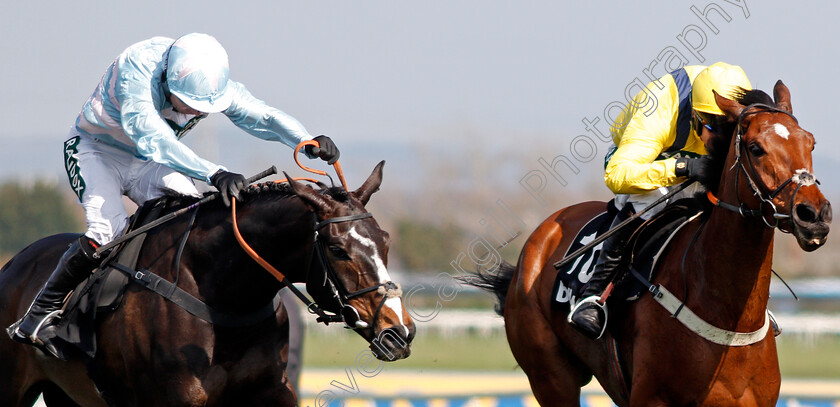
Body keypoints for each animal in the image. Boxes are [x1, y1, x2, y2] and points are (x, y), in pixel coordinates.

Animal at [0, 161, 416, 406]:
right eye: (338, 248)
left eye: (385, 241)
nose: (399, 331)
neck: (224, 299)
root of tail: (14, 263)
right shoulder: (176, 400)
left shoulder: (272, 390)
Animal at [470, 81, 832, 406]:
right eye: (756, 148)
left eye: (810, 143)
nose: (814, 214)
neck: (728, 320)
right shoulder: (652, 398)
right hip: (550, 377)